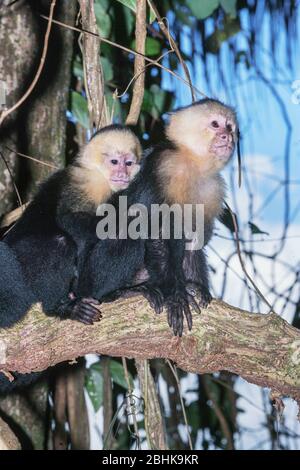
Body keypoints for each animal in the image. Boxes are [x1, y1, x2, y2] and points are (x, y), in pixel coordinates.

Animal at [73, 99, 239, 336]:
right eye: (215, 125)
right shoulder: (163, 167)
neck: (193, 164)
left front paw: (195, 287)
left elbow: (193, 242)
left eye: (230, 127)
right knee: (132, 231)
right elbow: (155, 231)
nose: (227, 137)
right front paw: (176, 297)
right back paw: (115, 294)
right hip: (88, 276)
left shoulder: (213, 190)